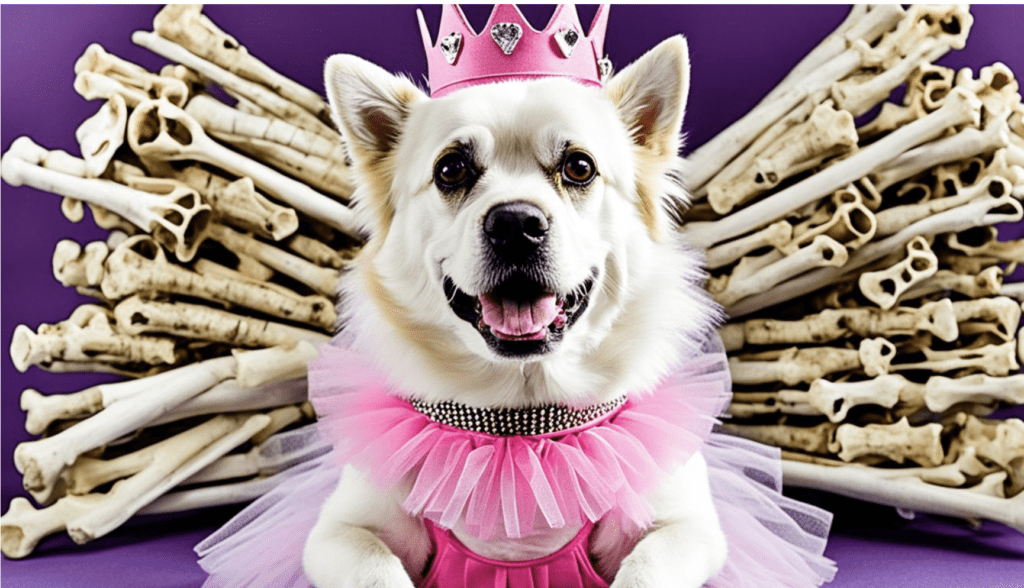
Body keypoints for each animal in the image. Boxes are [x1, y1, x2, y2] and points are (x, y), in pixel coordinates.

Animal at [303, 33, 729, 588]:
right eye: (451, 169)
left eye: (579, 167)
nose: (515, 224)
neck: (520, 420)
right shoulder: (339, 533)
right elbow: (378, 571)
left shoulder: (689, 527)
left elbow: (646, 567)